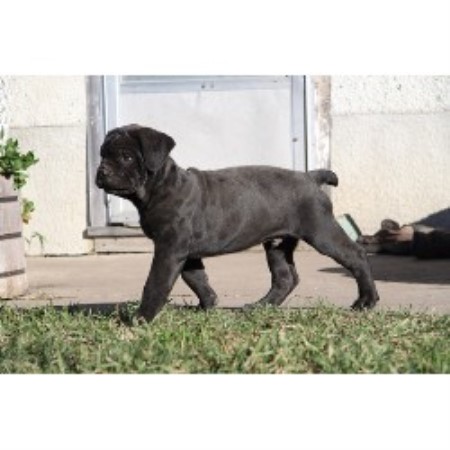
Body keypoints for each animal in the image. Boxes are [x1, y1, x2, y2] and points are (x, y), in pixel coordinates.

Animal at [96, 124, 378, 320]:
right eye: (101, 155)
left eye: (126, 157)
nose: (101, 171)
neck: (160, 187)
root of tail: (310, 176)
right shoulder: (185, 251)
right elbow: (195, 277)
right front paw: (208, 305)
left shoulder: (169, 249)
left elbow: (156, 283)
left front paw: (141, 318)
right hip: (277, 244)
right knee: (285, 277)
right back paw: (261, 307)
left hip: (321, 231)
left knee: (355, 255)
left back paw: (366, 301)